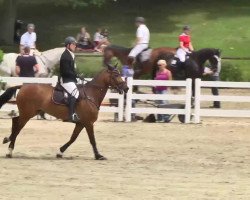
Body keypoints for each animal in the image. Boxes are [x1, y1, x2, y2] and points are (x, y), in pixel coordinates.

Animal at [0, 65, 128, 159]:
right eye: (116, 75)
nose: (126, 88)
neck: (90, 95)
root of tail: (23, 86)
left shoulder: (81, 123)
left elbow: (73, 138)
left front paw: (60, 152)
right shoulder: (89, 123)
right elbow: (92, 140)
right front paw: (98, 156)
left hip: (30, 113)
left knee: (15, 121)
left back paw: (9, 146)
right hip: (27, 114)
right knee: (18, 127)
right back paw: (9, 146)